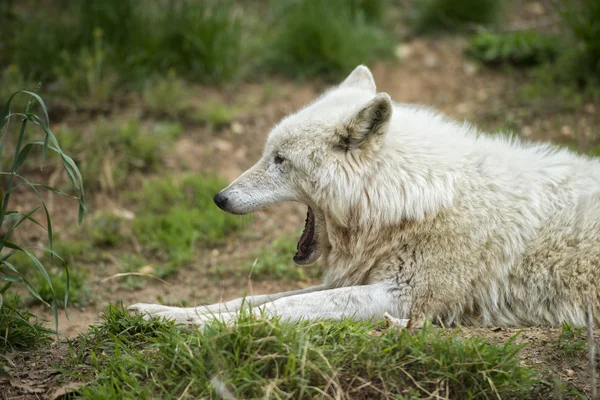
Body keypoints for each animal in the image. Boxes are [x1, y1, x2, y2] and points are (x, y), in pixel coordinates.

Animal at [131, 65, 600, 328]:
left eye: (280, 160)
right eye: (268, 153)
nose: (220, 198)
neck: (409, 197)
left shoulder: (404, 298)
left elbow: (281, 308)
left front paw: (206, 328)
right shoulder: (362, 281)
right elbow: (255, 298)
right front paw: (162, 313)